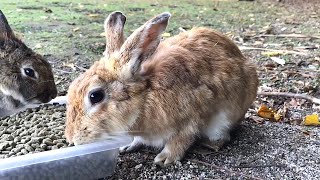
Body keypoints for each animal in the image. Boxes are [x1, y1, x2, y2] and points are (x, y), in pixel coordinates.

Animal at [65, 11, 258, 166]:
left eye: (95, 96)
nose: (72, 139)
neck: (145, 97)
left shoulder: (192, 117)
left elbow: (181, 139)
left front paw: (165, 159)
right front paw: (126, 145)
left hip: (227, 115)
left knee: (224, 134)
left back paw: (211, 143)